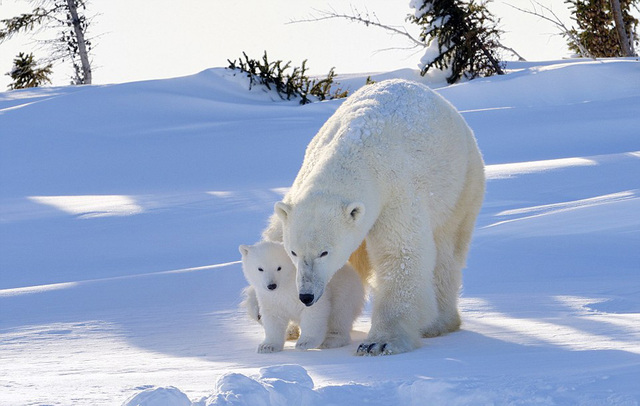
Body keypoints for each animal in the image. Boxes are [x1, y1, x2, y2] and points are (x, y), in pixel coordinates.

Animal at [262, 78, 484, 356]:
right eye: (293, 252)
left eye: (324, 252)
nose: (306, 296)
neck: (355, 151)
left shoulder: (396, 192)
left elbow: (399, 253)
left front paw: (378, 342)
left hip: (462, 185)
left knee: (446, 253)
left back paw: (438, 323)